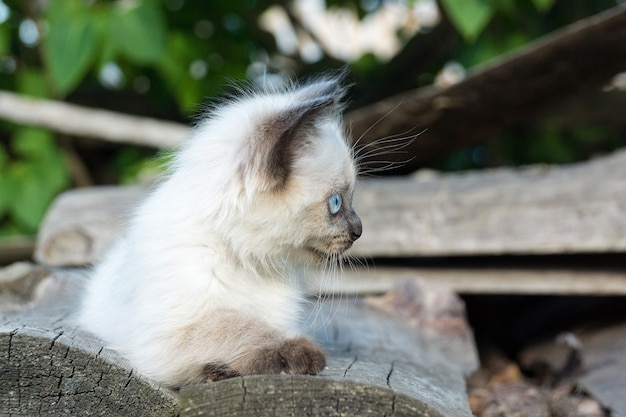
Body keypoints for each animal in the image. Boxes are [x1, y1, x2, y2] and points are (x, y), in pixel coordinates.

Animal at [77, 76, 360, 388]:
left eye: (347, 199)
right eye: (336, 203)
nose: (358, 230)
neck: (252, 262)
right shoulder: (168, 337)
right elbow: (238, 325)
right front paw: (294, 355)